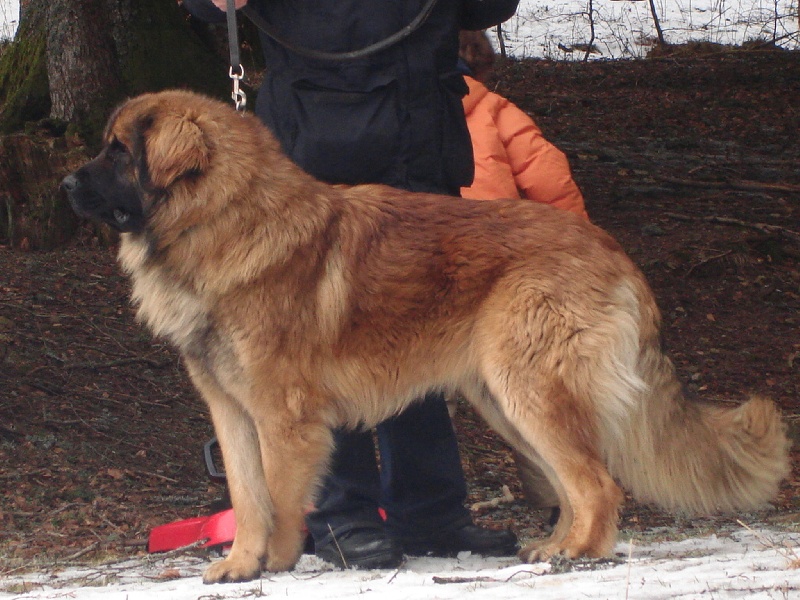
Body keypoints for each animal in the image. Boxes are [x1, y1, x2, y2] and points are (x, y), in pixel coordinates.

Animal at [62, 91, 788, 584]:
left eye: (118, 151)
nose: (65, 181)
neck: (222, 219)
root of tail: (612, 249)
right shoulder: (232, 412)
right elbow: (247, 495)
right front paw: (241, 564)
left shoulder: (282, 417)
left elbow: (280, 499)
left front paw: (277, 562)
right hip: (505, 402)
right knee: (574, 481)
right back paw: (554, 545)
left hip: (529, 392)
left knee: (599, 483)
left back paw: (579, 554)